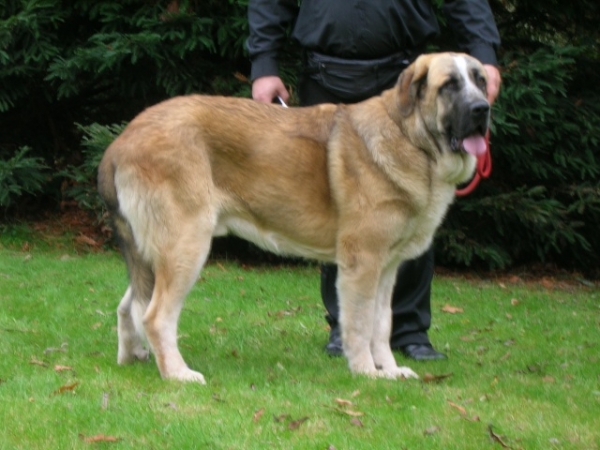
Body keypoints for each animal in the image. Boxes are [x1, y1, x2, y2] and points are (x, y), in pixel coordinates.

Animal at [98, 52, 490, 384]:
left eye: (481, 80)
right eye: (449, 85)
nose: (482, 109)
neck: (410, 137)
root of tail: (121, 141)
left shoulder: (386, 268)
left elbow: (382, 324)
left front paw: (390, 371)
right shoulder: (362, 263)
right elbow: (360, 325)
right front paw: (367, 373)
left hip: (155, 252)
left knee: (128, 306)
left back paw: (131, 357)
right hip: (186, 246)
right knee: (155, 316)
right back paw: (178, 374)